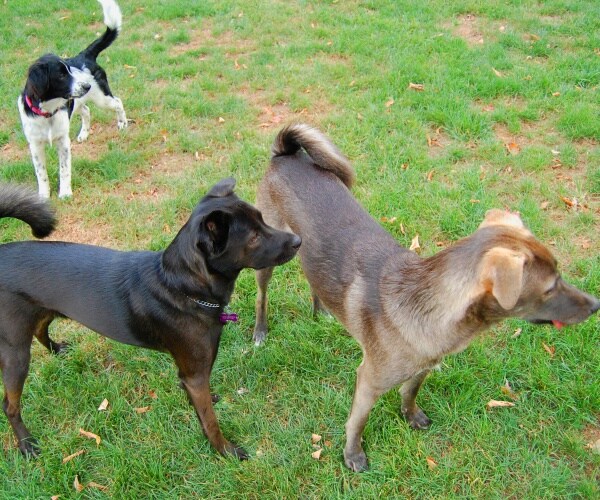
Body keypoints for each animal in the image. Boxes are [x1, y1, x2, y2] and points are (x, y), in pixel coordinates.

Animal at [0, 179, 300, 458]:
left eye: (262, 219)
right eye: (254, 237)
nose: (298, 240)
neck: (182, 287)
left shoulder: (190, 373)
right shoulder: (195, 374)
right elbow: (211, 422)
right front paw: (225, 451)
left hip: (39, 312)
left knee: (40, 328)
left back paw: (57, 349)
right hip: (15, 354)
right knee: (10, 405)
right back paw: (26, 444)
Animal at [17, 0, 127, 199]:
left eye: (69, 69)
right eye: (61, 75)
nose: (86, 86)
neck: (48, 112)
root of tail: (83, 56)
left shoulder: (63, 142)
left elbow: (64, 169)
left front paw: (65, 193)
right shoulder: (35, 145)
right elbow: (41, 173)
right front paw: (43, 196)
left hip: (101, 98)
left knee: (117, 102)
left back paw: (123, 123)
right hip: (78, 100)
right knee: (86, 110)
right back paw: (84, 133)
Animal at [252, 123, 600, 470]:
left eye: (560, 273)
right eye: (550, 288)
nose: (596, 305)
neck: (425, 303)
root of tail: (285, 154)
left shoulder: (423, 366)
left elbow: (409, 393)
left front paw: (410, 416)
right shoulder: (369, 380)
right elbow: (357, 422)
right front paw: (353, 454)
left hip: (307, 252)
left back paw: (321, 310)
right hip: (268, 256)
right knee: (262, 295)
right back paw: (260, 331)